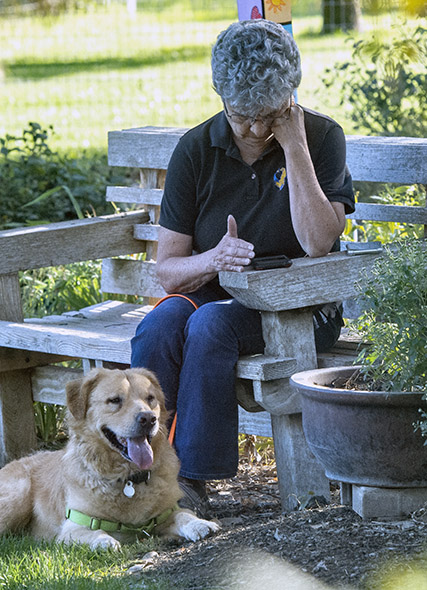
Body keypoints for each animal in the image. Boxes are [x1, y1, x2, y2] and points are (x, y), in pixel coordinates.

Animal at [0, 368, 221, 552]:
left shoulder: (166, 512)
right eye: (115, 400)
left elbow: (184, 514)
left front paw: (200, 524)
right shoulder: (72, 528)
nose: (149, 419)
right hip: (18, 495)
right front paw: (104, 541)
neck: (127, 479)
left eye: (150, 398)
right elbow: (96, 532)